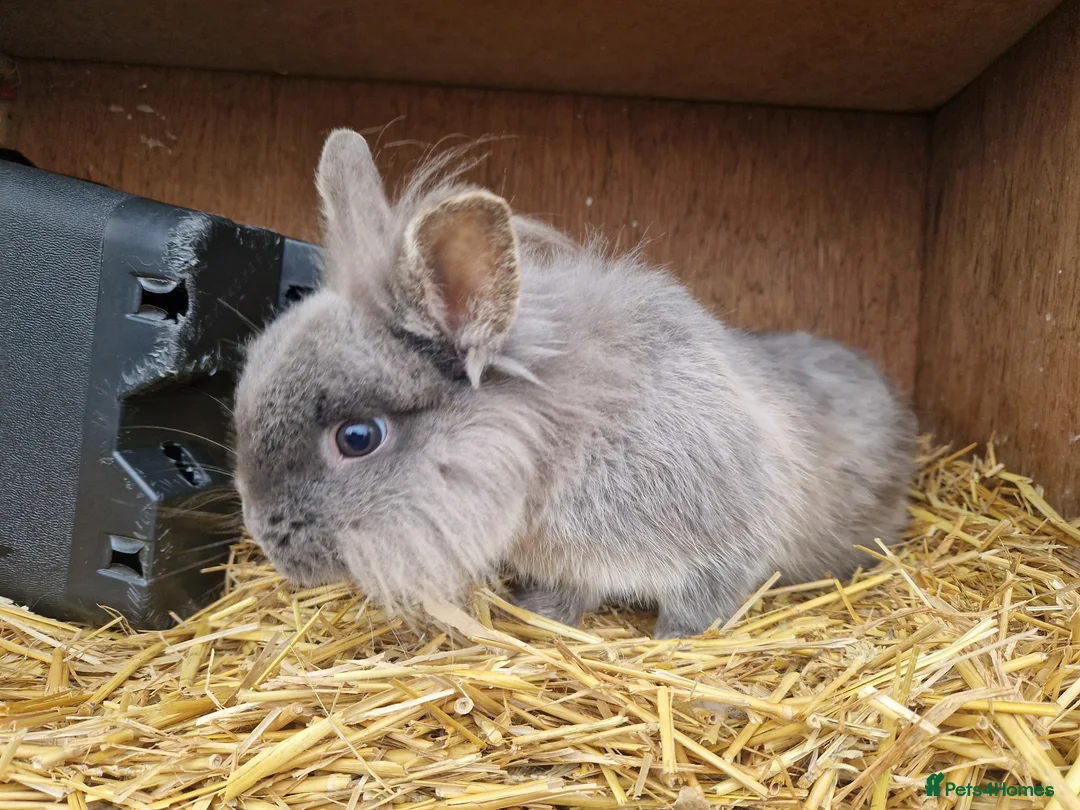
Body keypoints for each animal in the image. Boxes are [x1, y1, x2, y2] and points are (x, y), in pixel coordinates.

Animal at [232, 128, 917, 639]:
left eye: (357, 438)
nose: (269, 545)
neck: (559, 444)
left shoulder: (726, 546)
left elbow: (701, 607)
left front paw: (672, 645)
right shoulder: (571, 565)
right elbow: (566, 598)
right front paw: (538, 617)